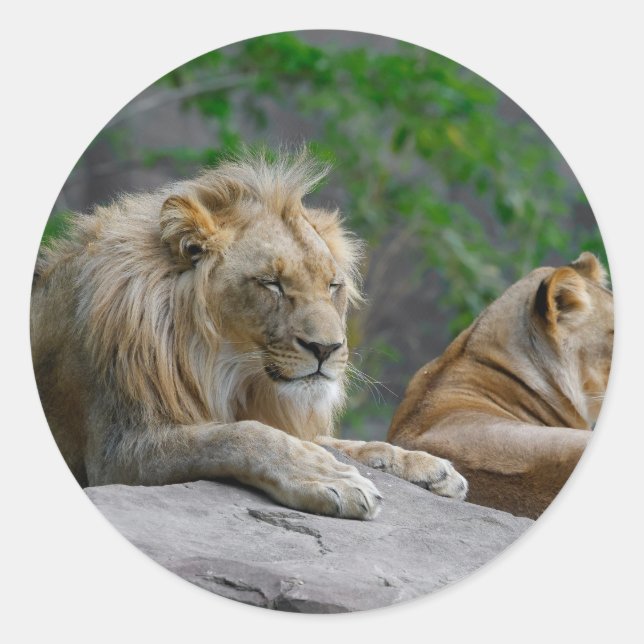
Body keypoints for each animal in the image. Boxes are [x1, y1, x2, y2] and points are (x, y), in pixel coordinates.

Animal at [31, 150, 467, 520]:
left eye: (332, 286)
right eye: (271, 283)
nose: (326, 348)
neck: (228, 372)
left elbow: (335, 442)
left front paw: (427, 466)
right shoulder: (118, 451)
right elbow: (242, 435)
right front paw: (329, 478)